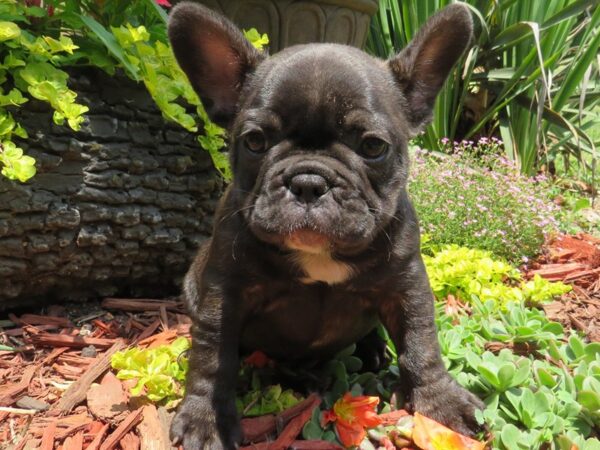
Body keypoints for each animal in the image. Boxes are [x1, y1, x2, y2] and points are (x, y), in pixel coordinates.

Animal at [168, 2, 482, 446]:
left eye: (373, 146)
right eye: (254, 142)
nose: (308, 181)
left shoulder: (407, 285)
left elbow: (421, 343)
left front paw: (440, 401)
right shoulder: (223, 294)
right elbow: (213, 356)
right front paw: (205, 417)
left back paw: (370, 352)